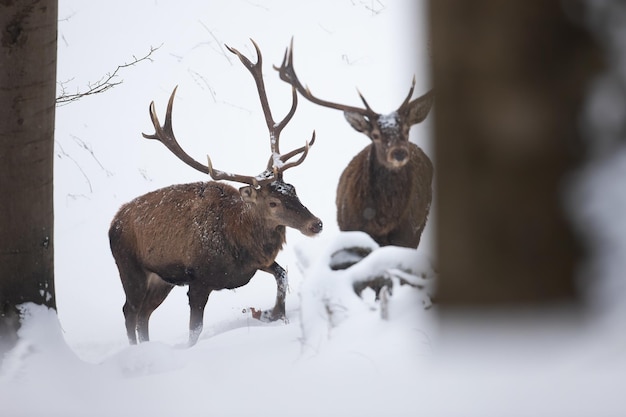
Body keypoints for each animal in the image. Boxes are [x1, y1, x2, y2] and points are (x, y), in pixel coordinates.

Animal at [108, 39, 322, 344]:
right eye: (272, 202)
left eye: (292, 189)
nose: (316, 224)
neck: (240, 238)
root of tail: (113, 222)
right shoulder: (200, 280)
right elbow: (194, 330)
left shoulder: (255, 263)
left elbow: (282, 274)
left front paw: (275, 314)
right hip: (129, 266)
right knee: (130, 311)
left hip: (161, 279)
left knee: (143, 314)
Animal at [276, 39, 432, 247]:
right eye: (375, 134)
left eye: (407, 130)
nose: (399, 153)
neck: (382, 222)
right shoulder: (351, 228)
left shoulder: (408, 236)